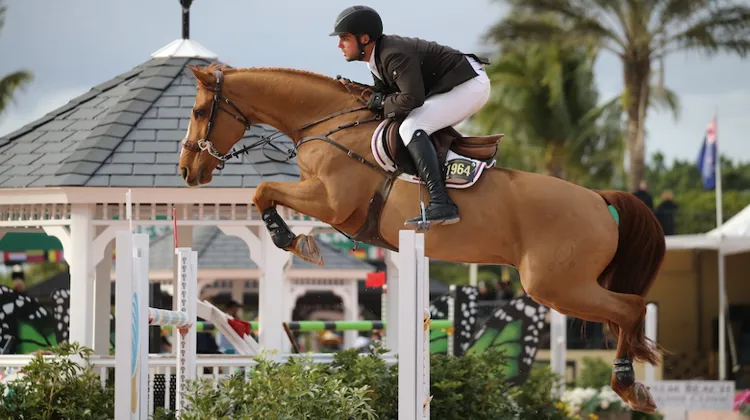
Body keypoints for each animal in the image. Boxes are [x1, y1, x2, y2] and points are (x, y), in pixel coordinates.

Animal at [178, 63, 665, 413]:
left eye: (200, 113)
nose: (187, 171)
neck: (327, 124)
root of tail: (600, 200)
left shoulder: (332, 202)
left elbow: (264, 190)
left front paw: (294, 241)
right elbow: (266, 191)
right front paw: (297, 240)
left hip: (555, 285)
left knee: (631, 307)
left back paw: (629, 388)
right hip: (564, 285)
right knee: (629, 310)